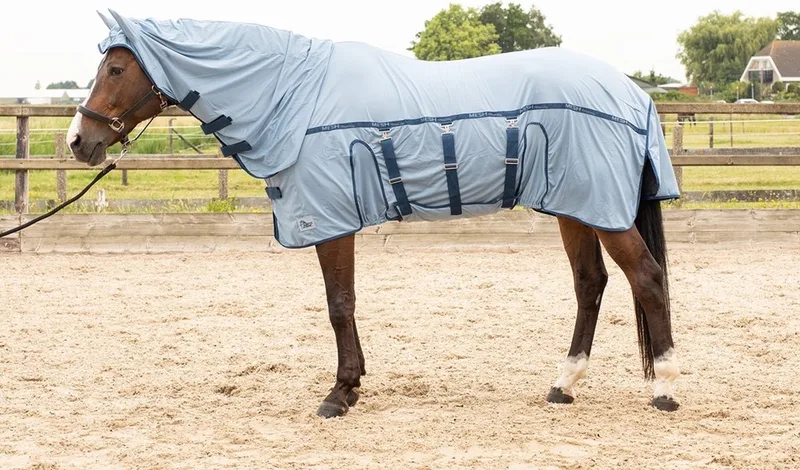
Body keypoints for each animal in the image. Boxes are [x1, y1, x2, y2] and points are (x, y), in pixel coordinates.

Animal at [67, 10, 681, 418]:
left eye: (116, 68)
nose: (78, 141)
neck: (294, 98)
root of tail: (633, 94)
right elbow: (344, 304)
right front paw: (353, 384)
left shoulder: (330, 221)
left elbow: (340, 305)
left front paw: (340, 393)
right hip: (574, 207)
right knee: (591, 283)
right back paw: (564, 384)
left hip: (601, 211)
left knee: (646, 279)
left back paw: (666, 389)